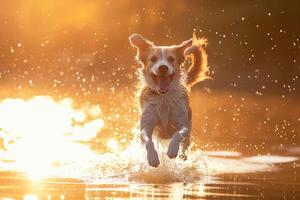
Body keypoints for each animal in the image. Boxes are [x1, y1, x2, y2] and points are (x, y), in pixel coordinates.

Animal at [129, 33, 211, 167]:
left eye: (171, 59)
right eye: (153, 59)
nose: (163, 67)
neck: (163, 97)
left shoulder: (183, 123)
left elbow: (179, 133)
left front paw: (173, 149)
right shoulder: (146, 124)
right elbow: (147, 139)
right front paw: (152, 158)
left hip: (187, 138)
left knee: (184, 148)